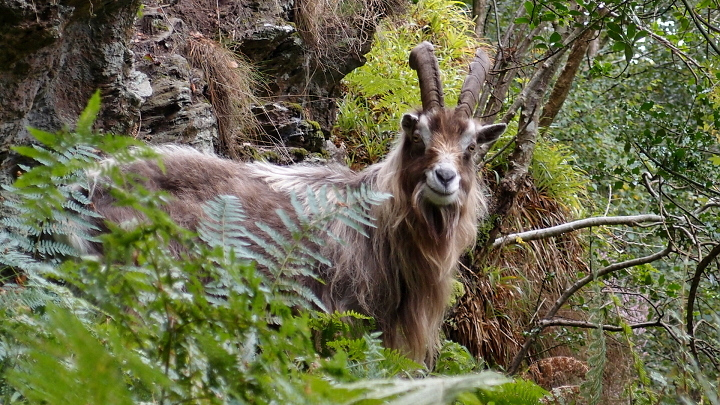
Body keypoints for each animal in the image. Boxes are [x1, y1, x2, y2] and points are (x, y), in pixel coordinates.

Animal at [83, 42, 506, 364]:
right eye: (418, 137)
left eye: (471, 148)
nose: (445, 177)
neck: (376, 221)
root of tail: (88, 181)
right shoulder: (341, 317)